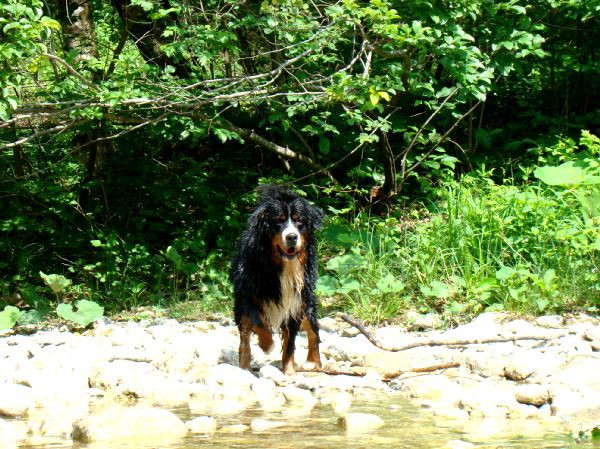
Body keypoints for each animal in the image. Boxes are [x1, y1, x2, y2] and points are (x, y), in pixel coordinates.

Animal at [230, 184, 324, 372]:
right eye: (278, 222)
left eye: (299, 222)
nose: (292, 237)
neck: (282, 267)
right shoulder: (247, 294)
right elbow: (258, 322)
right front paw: (266, 344)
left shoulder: (295, 302)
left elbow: (289, 343)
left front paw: (289, 372)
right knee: (244, 340)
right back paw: (244, 366)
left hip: (307, 304)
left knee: (313, 330)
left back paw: (315, 361)